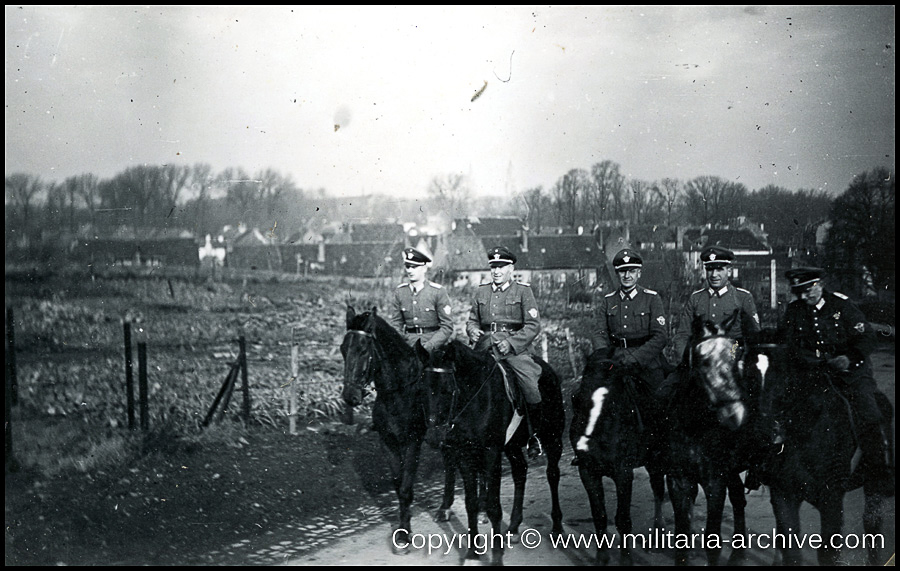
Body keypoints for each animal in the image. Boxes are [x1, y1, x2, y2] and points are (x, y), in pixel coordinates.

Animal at [342, 306, 430, 552]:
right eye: (343, 349)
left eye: (363, 349)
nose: (350, 396)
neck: (399, 393)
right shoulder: (387, 442)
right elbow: (399, 485)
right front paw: (402, 530)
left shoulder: (413, 443)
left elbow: (406, 487)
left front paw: (405, 535)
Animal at [420, 340, 564, 564]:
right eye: (422, 388)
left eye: (447, 389)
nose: (434, 437)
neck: (474, 399)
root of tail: (548, 370)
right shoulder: (465, 454)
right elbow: (471, 503)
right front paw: (472, 553)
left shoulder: (491, 453)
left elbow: (493, 507)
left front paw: (496, 557)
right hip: (512, 446)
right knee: (520, 472)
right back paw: (513, 528)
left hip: (553, 438)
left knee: (552, 475)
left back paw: (557, 528)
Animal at [568, 358, 668, 568]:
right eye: (577, 400)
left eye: (610, 404)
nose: (584, 445)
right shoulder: (588, 472)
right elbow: (599, 515)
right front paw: (601, 558)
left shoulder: (623, 473)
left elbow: (622, 518)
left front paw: (626, 559)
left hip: (656, 459)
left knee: (658, 491)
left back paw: (659, 535)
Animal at [664, 312, 756, 568]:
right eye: (704, 361)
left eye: (738, 357)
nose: (737, 414)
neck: (693, 426)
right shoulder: (678, 480)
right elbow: (682, 536)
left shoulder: (715, 482)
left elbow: (712, 539)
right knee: (738, 498)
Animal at [744, 338, 892, 564]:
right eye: (748, 374)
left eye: (783, 375)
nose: (763, 429)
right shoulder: (783, 494)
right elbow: (791, 549)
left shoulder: (831, 498)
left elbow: (828, 551)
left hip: (874, 483)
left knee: (872, 525)